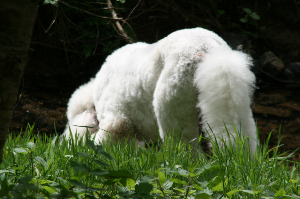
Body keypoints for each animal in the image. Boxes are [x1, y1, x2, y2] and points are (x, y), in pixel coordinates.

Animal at [62, 27, 256, 154]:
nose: (64, 142)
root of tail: (208, 48)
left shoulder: (117, 116)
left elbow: (109, 135)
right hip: (229, 87)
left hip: (174, 89)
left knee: (181, 138)